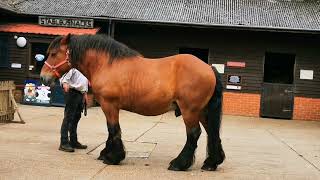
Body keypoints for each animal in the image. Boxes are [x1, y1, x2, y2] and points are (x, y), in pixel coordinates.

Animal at [40, 34, 225, 172]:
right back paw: (211, 163)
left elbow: (113, 129)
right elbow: (111, 131)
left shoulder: (109, 105)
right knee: (212, 132)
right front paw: (106, 153)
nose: (43, 77)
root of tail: (209, 68)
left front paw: (112, 157)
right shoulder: (109, 106)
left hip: (190, 111)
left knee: (194, 134)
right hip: (202, 111)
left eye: (54, 53)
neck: (107, 64)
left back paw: (179, 164)